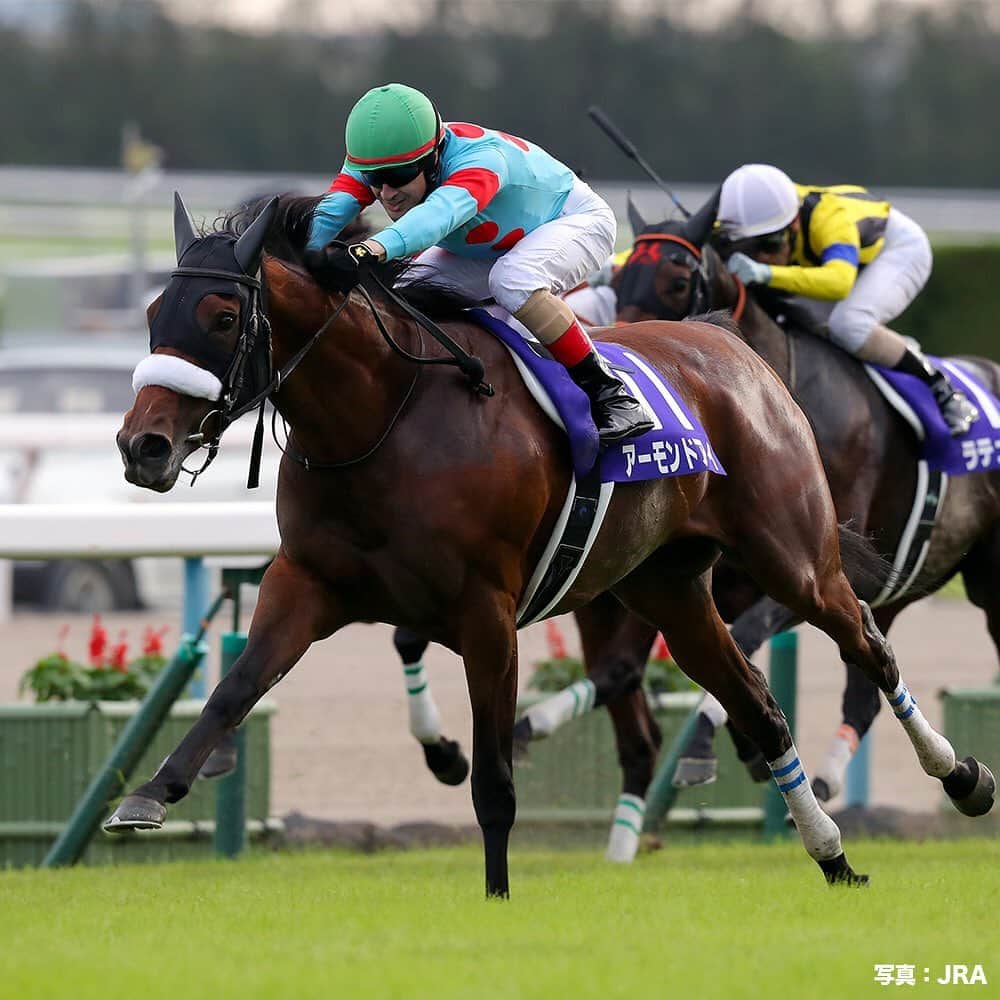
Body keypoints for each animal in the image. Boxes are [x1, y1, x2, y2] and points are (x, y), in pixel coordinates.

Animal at [107, 192, 993, 896]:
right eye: (152, 316)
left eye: (223, 318)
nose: (142, 446)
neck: (384, 415)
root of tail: (732, 345)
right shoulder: (310, 583)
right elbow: (235, 688)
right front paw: (150, 792)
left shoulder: (486, 612)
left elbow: (496, 774)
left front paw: (497, 895)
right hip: (669, 588)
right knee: (761, 709)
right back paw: (833, 856)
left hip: (795, 558)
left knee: (868, 646)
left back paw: (963, 779)